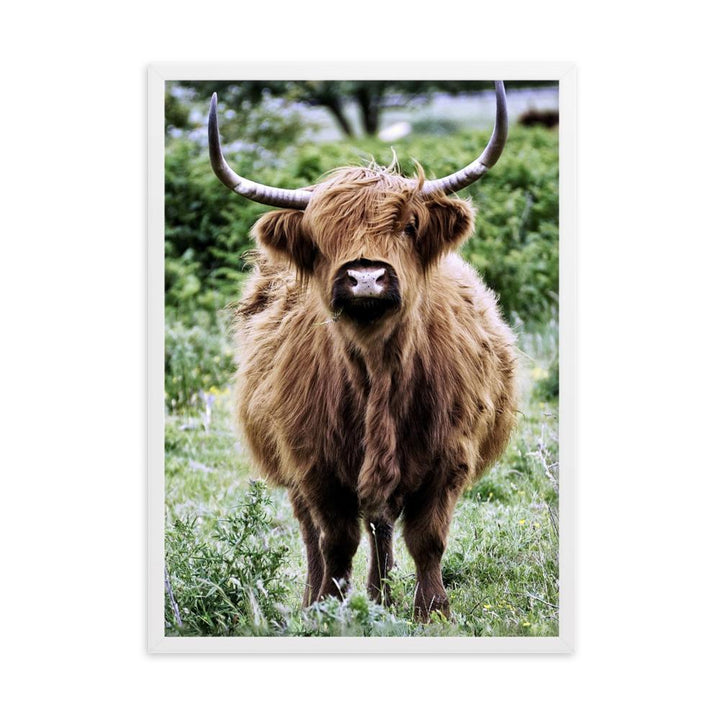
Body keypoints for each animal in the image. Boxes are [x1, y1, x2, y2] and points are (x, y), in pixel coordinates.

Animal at [208, 82, 518, 621]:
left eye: (409, 225)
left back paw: (381, 594)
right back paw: (325, 597)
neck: (378, 370)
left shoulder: (449, 458)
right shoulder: (314, 464)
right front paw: (329, 608)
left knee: (382, 522)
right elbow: (335, 539)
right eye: (321, 235)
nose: (366, 277)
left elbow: (427, 538)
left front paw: (431, 611)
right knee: (317, 532)